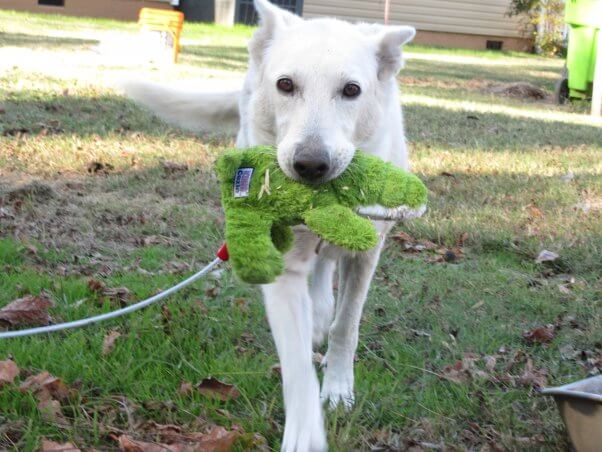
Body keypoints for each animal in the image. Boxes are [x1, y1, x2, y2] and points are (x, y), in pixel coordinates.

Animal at [124, 1, 414, 450]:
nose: (310, 166)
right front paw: (305, 430)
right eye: (286, 85)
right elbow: (295, 363)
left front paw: (337, 389)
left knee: (328, 270)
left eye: (351, 90)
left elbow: (347, 327)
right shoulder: (285, 267)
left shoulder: (366, 253)